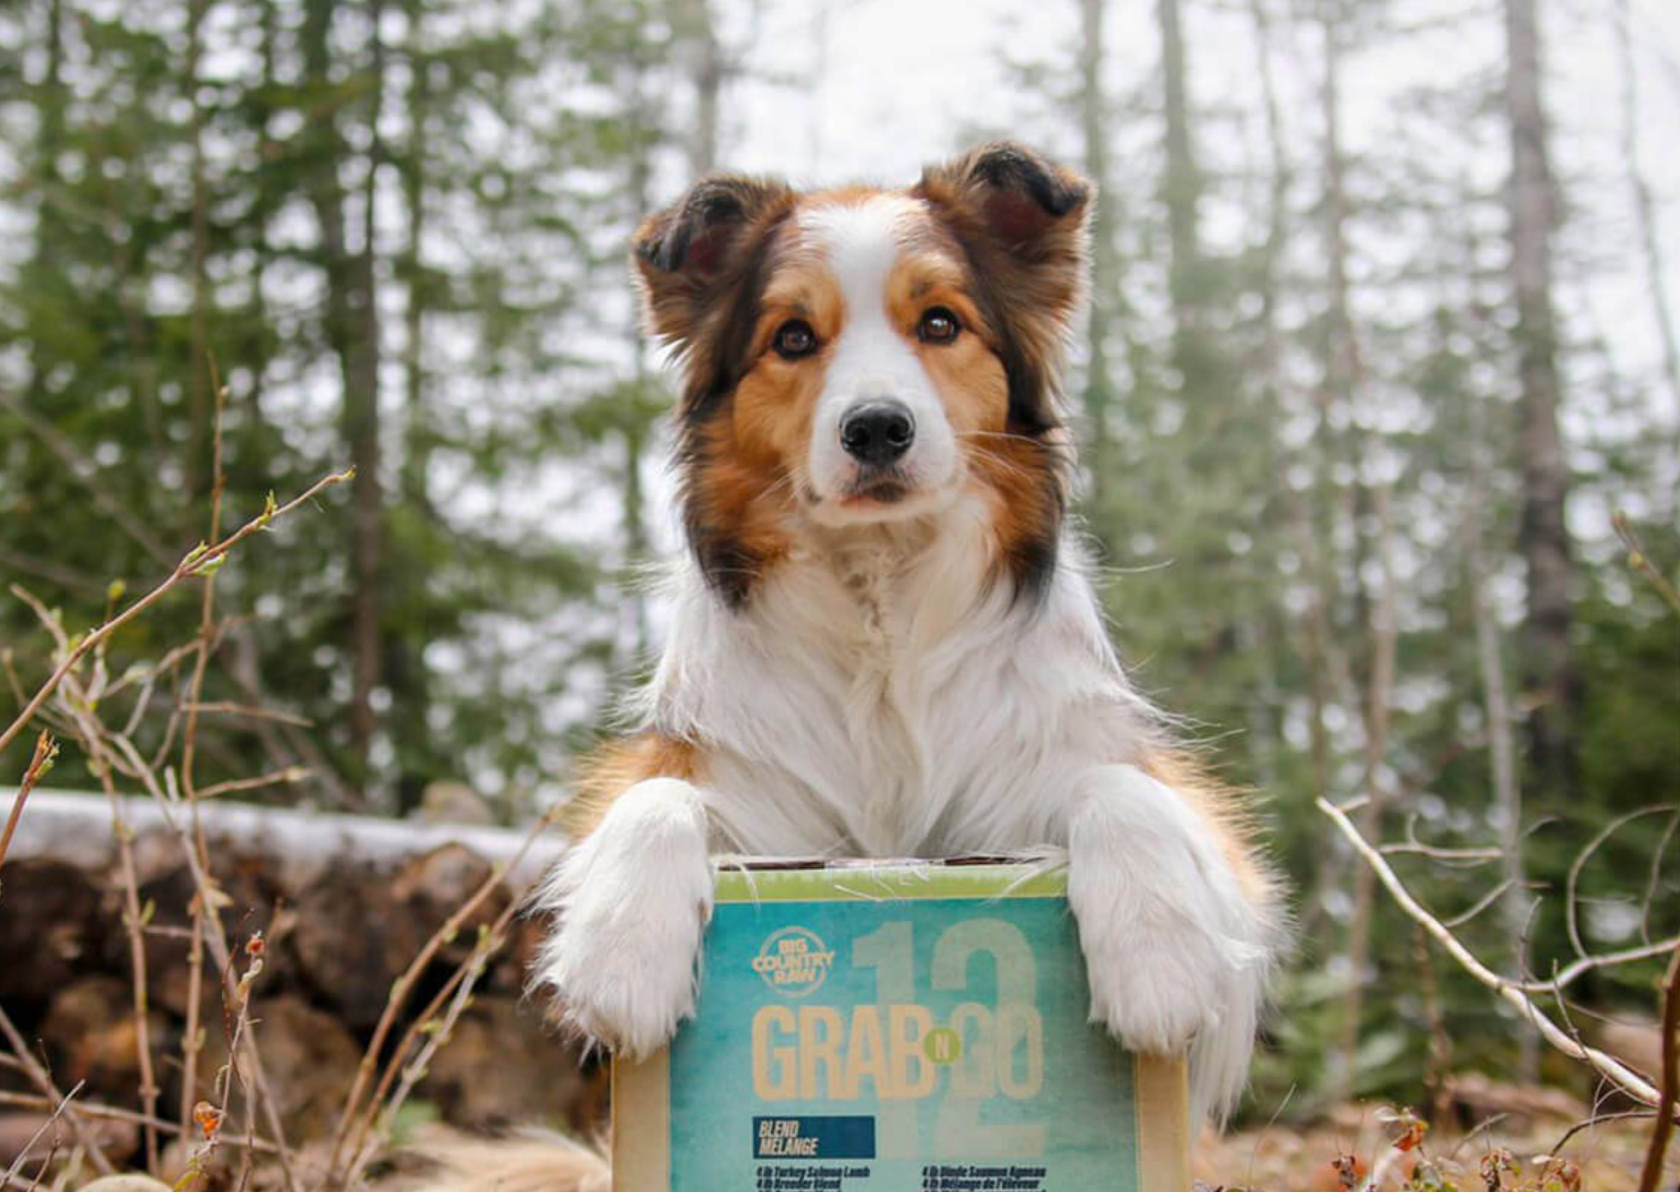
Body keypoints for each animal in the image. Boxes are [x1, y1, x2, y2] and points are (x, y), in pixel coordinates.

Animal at [440, 140, 1276, 1188]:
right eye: (794, 338)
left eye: (941, 323)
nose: (877, 427)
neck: (881, 594)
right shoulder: (732, 783)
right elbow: (655, 796)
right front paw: (621, 953)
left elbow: (1128, 792)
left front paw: (1160, 958)